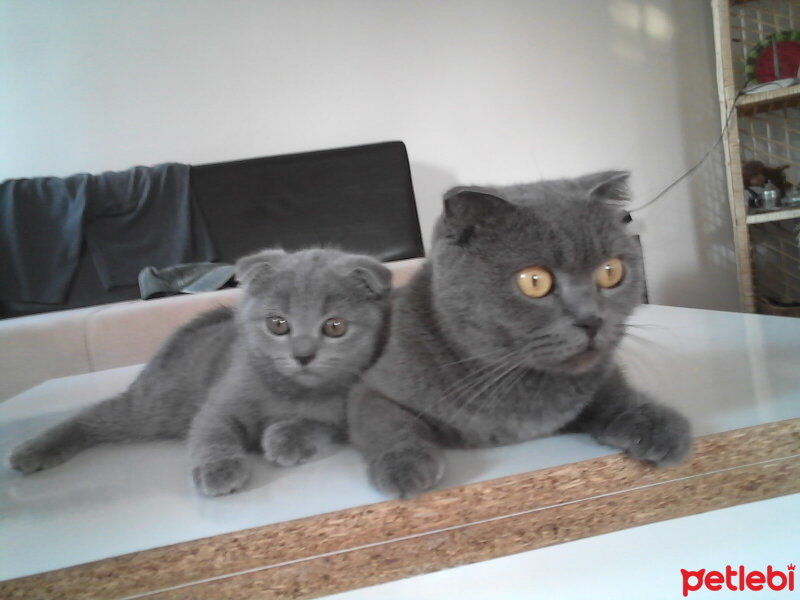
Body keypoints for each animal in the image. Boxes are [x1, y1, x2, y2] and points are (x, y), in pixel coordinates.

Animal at [9, 248, 390, 496]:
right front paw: (218, 469)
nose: (303, 355)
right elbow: (212, 431)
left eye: (335, 327)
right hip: (157, 404)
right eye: (278, 324)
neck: (291, 389)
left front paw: (285, 438)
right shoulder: (220, 401)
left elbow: (318, 427)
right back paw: (33, 451)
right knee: (93, 417)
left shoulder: (342, 418)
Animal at [350, 172, 692, 496]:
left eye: (611, 271)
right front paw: (404, 464)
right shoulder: (371, 386)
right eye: (534, 281)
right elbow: (384, 419)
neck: (515, 384)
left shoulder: (599, 374)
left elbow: (613, 390)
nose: (591, 320)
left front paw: (656, 424)